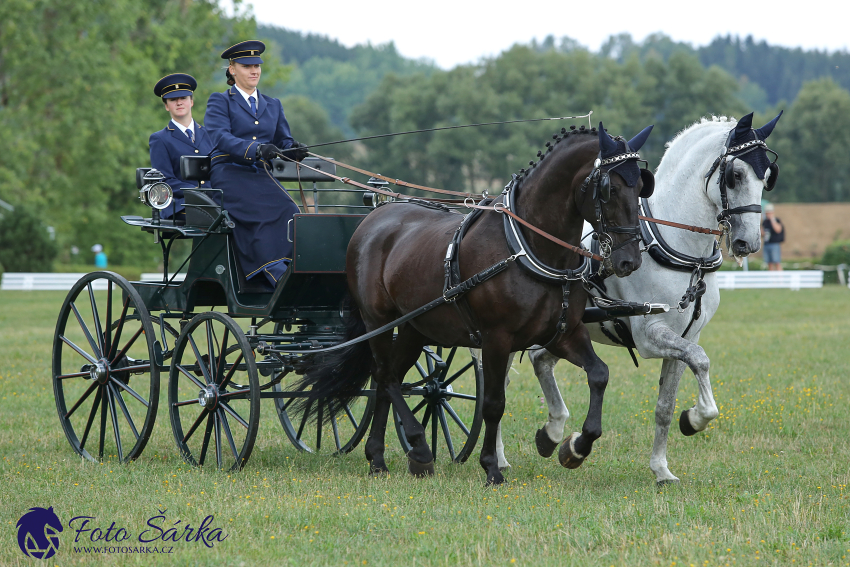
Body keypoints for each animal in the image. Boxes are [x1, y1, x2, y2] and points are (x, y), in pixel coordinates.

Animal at [294, 123, 652, 484]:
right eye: (609, 188)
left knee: (386, 379)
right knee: (386, 376)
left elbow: (599, 374)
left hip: (413, 328)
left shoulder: (564, 333)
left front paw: (575, 448)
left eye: (641, 186)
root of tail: (373, 217)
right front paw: (492, 467)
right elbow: (493, 403)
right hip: (378, 322)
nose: (629, 261)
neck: (527, 246)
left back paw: (378, 458)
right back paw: (419, 449)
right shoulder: (497, 338)